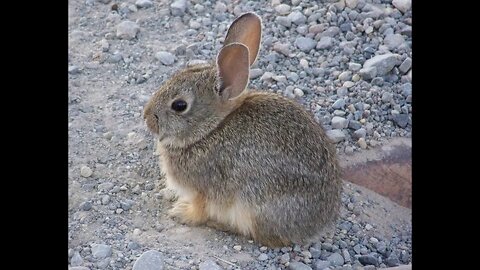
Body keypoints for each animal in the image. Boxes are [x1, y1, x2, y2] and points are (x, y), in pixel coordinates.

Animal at [142, 13, 342, 249]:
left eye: (179, 105)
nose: (147, 118)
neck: (211, 130)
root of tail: (318, 225)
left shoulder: (203, 190)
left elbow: (199, 210)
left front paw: (181, 213)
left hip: (255, 205)